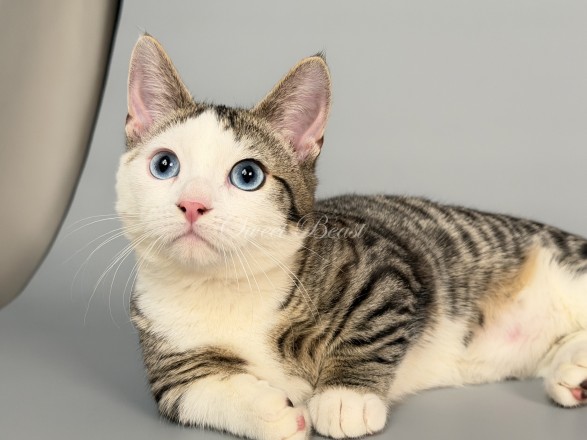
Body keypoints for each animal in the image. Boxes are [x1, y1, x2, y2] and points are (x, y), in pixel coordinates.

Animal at [116, 34, 587, 440]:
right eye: (164, 165)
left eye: (247, 175)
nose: (192, 204)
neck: (226, 288)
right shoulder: (167, 364)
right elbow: (197, 391)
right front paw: (271, 412)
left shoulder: (387, 267)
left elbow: (369, 328)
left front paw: (346, 396)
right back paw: (574, 371)